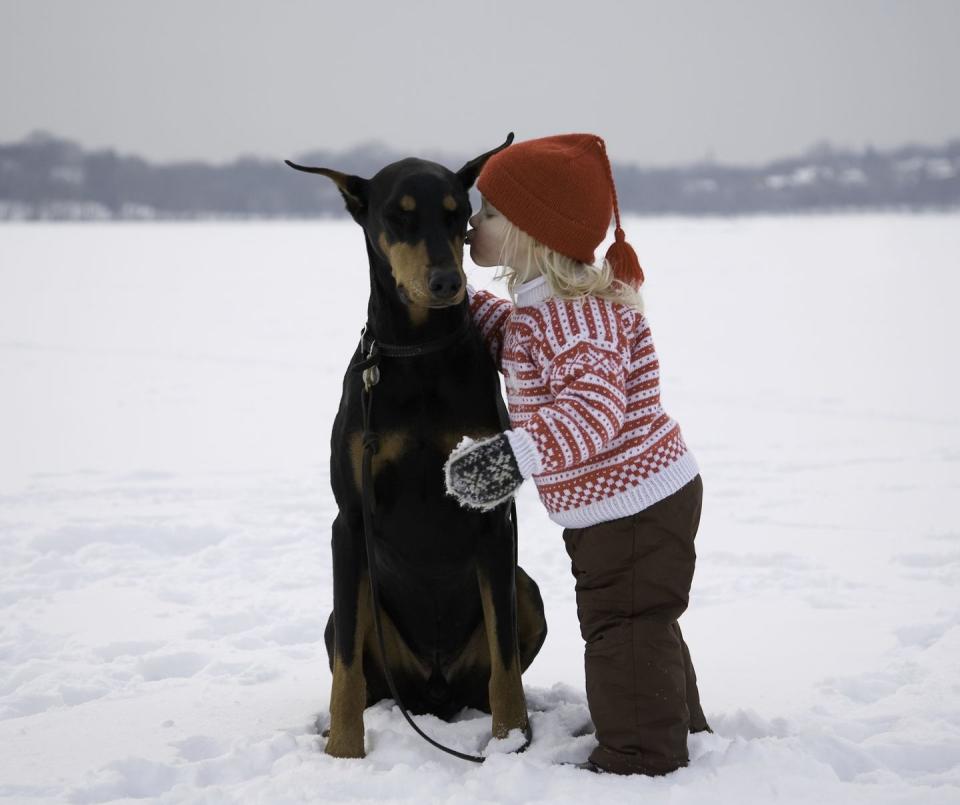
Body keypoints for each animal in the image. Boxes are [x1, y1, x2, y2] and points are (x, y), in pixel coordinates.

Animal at [284, 135, 548, 756]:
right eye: (398, 215)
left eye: (457, 214)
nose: (447, 282)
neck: (419, 352)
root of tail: (434, 691)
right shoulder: (349, 520)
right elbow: (347, 668)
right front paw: (343, 752)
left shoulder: (494, 520)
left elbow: (506, 659)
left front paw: (510, 744)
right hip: (353, 615)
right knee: (356, 659)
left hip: (527, 589)